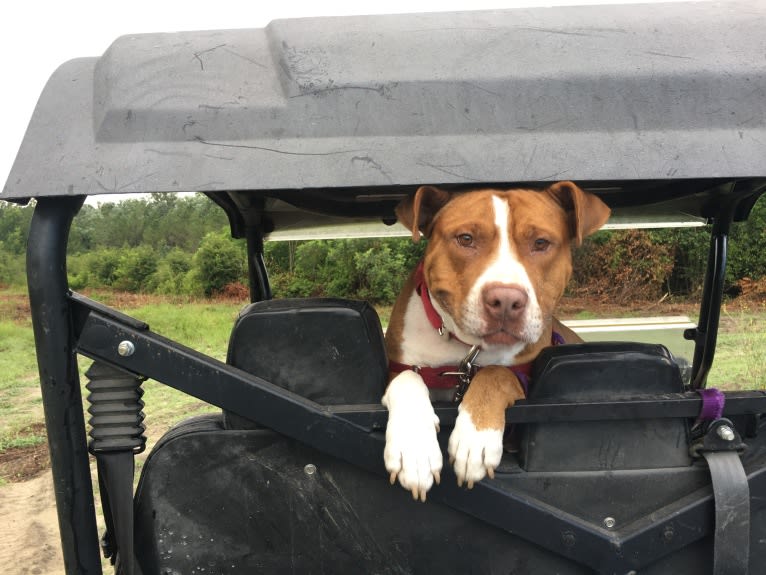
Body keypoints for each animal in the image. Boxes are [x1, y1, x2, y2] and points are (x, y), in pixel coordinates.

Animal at [384, 180, 612, 500]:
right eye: (466, 239)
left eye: (541, 243)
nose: (505, 300)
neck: (467, 350)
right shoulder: (398, 366)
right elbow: (408, 377)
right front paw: (414, 449)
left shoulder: (522, 373)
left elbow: (496, 373)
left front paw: (475, 438)